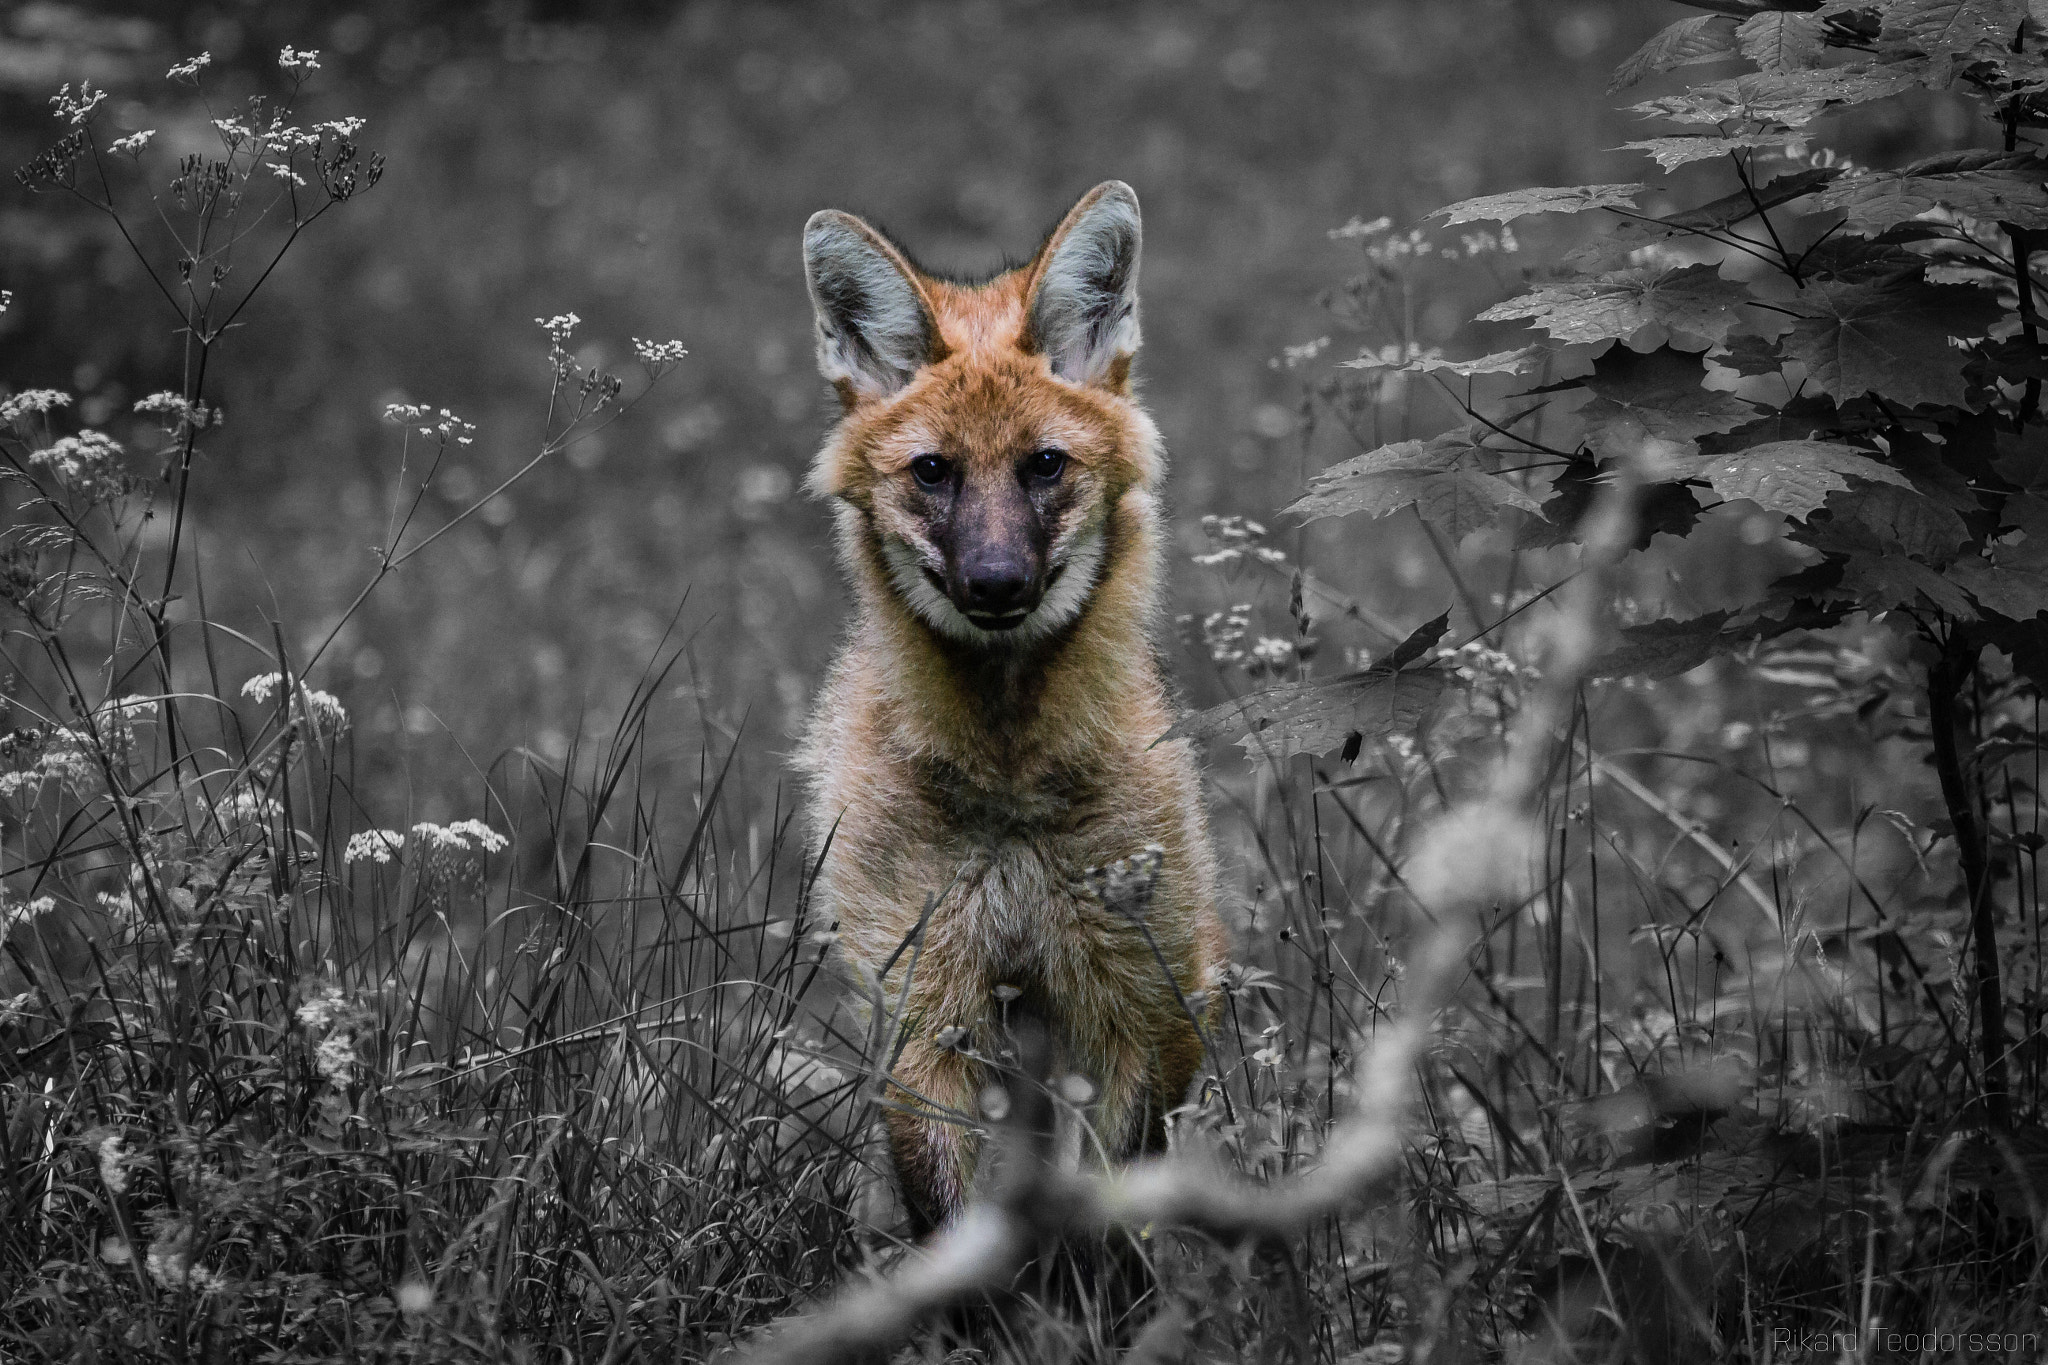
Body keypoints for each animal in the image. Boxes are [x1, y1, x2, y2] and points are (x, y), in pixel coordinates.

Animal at [794, 180, 1227, 1237]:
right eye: (933, 471)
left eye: (1044, 464)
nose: (996, 583)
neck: (1011, 784)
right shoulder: (923, 1012)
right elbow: (951, 1223)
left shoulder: (1145, 1004)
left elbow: (1114, 1229)